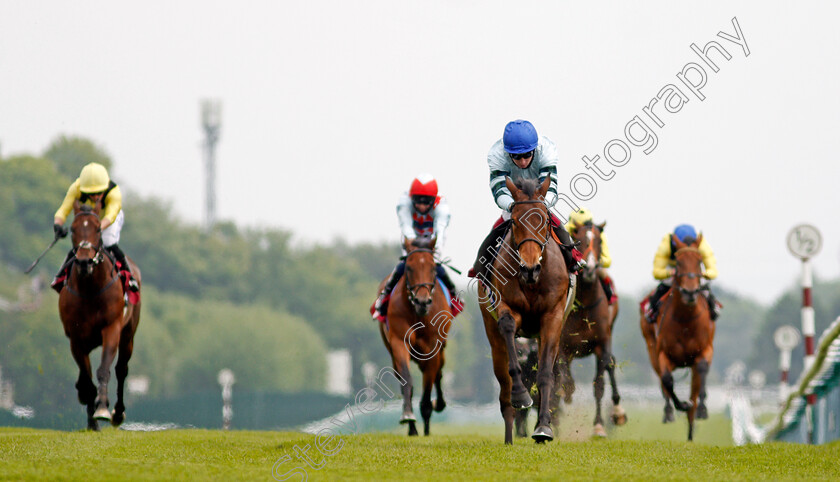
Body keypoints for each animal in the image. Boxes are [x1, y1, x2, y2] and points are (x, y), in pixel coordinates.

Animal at [59, 203, 141, 430]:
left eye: (97, 229)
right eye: (72, 229)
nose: (84, 261)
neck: (90, 288)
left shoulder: (111, 328)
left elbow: (104, 369)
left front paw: (102, 408)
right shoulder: (76, 336)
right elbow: (86, 379)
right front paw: (91, 419)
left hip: (128, 334)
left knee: (121, 369)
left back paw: (118, 413)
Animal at [378, 236, 450, 436]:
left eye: (433, 268)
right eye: (409, 267)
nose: (422, 301)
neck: (418, 314)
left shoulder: (433, 347)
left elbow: (428, 390)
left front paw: (426, 426)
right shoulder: (399, 343)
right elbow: (406, 380)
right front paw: (408, 417)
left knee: (438, 374)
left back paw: (437, 407)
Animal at [476, 177, 576, 444]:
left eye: (544, 219)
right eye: (514, 220)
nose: (530, 268)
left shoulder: (552, 317)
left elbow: (545, 374)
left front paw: (543, 428)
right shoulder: (506, 307)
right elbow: (509, 328)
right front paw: (521, 395)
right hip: (493, 337)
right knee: (504, 387)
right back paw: (510, 436)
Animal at [644, 233, 716, 440]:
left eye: (699, 261)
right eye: (678, 263)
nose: (690, 292)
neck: (685, 321)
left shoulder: (705, 350)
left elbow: (701, 371)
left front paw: (700, 408)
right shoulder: (662, 354)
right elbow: (667, 380)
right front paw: (681, 405)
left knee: (696, 387)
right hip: (651, 349)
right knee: (663, 381)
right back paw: (670, 411)